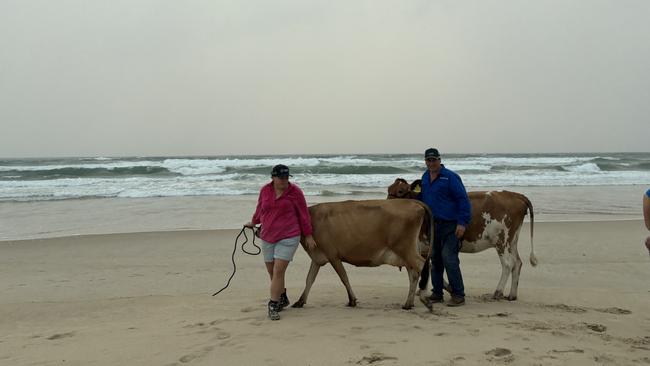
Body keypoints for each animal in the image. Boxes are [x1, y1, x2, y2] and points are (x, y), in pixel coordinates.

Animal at [292, 199, 432, 310]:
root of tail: (411, 201)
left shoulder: (333, 255)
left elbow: (344, 277)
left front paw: (352, 300)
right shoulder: (317, 258)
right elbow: (309, 279)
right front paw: (300, 301)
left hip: (405, 248)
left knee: (423, 266)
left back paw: (424, 299)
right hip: (407, 251)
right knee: (413, 273)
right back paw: (409, 303)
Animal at [388, 179, 536, 302]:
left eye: (400, 191)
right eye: (388, 190)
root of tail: (515, 195)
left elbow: (426, 268)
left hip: (501, 240)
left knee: (508, 264)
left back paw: (497, 292)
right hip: (512, 241)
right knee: (517, 263)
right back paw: (512, 295)